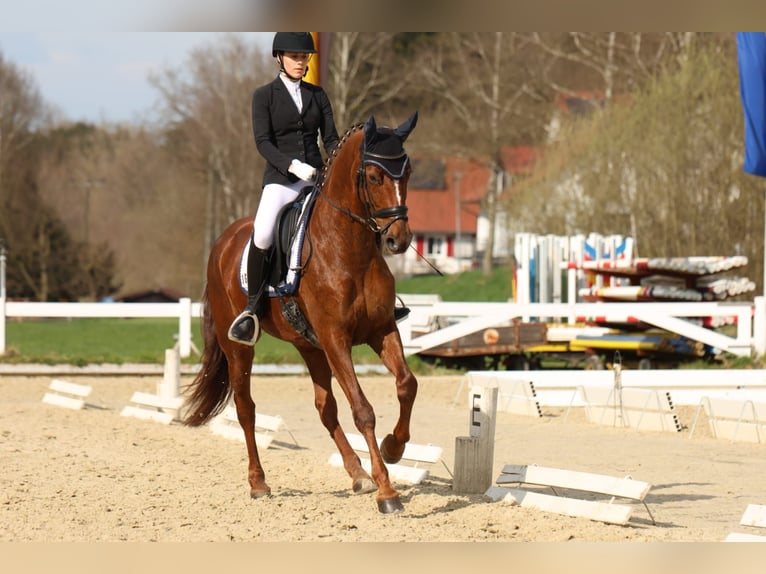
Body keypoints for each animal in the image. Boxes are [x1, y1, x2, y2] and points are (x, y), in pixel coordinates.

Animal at [182, 112, 420, 514]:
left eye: (408, 173)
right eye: (374, 177)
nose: (397, 240)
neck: (348, 248)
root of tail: (222, 242)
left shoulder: (381, 329)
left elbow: (406, 384)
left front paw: (394, 447)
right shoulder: (336, 338)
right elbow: (363, 410)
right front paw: (388, 492)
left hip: (308, 346)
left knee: (325, 407)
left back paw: (358, 474)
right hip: (240, 348)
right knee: (245, 408)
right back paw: (258, 483)